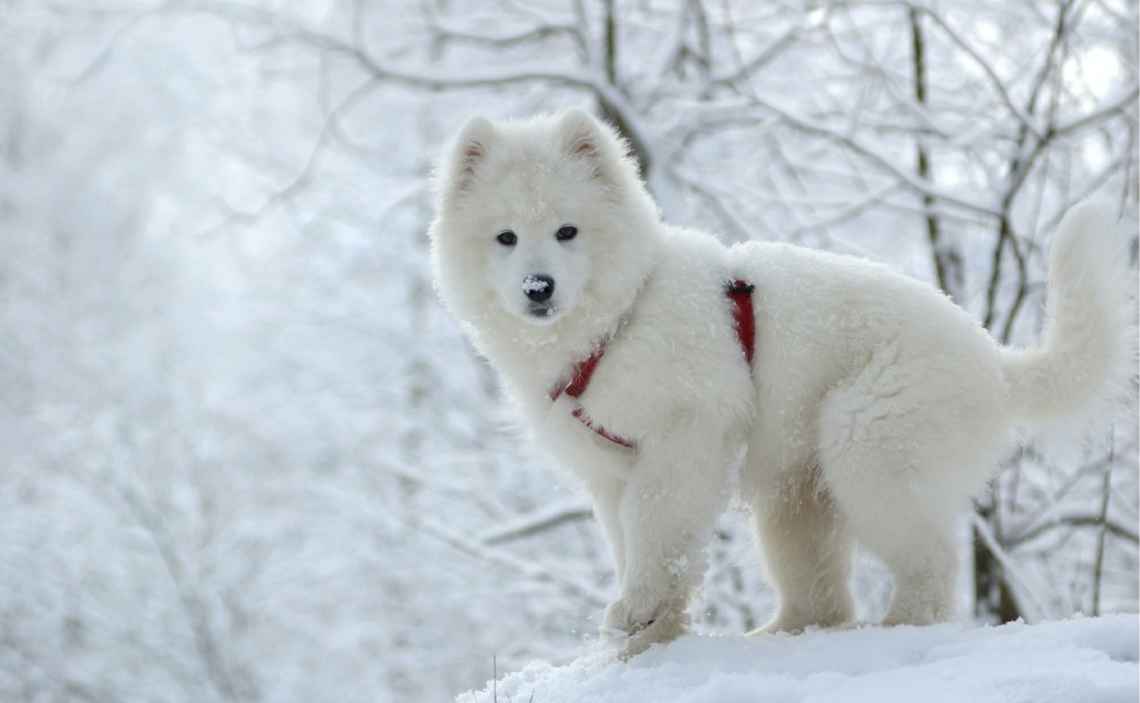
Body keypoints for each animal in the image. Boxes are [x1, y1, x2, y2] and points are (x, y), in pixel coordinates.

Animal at [428, 108, 1130, 651]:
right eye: (505, 237)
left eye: (567, 231)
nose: (537, 288)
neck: (619, 321)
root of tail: (992, 359)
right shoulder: (610, 470)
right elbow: (632, 541)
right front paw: (650, 633)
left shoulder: (686, 437)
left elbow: (659, 531)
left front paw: (640, 612)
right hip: (797, 497)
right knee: (824, 598)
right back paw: (780, 634)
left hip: (869, 448)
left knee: (929, 564)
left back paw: (896, 629)